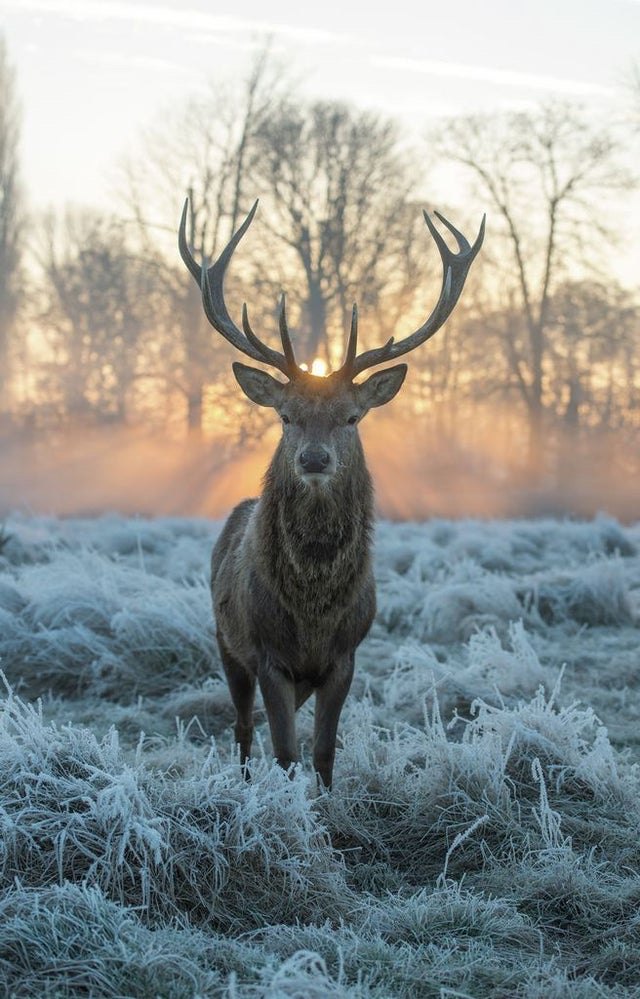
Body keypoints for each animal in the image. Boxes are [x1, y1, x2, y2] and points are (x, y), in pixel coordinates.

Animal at [178, 197, 482, 788]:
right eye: (286, 415)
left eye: (351, 416)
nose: (314, 459)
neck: (313, 612)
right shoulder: (268, 655)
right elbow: (285, 752)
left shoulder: (346, 657)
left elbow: (321, 754)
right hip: (225, 641)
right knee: (242, 727)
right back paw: (243, 782)